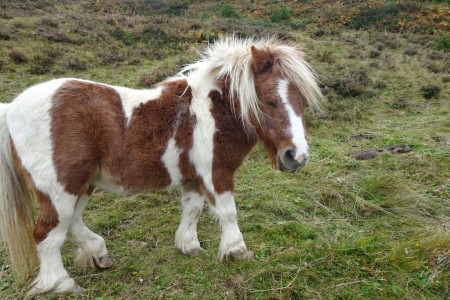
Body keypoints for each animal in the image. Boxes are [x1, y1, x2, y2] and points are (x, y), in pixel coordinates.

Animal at [0, 35, 324, 296]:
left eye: (302, 101)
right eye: (269, 101)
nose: (297, 157)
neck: (214, 111)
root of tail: (12, 108)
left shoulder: (194, 179)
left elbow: (192, 211)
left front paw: (189, 245)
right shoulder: (215, 174)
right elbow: (228, 213)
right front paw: (236, 250)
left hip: (82, 185)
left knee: (71, 225)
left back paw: (98, 253)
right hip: (61, 190)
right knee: (47, 235)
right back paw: (62, 283)